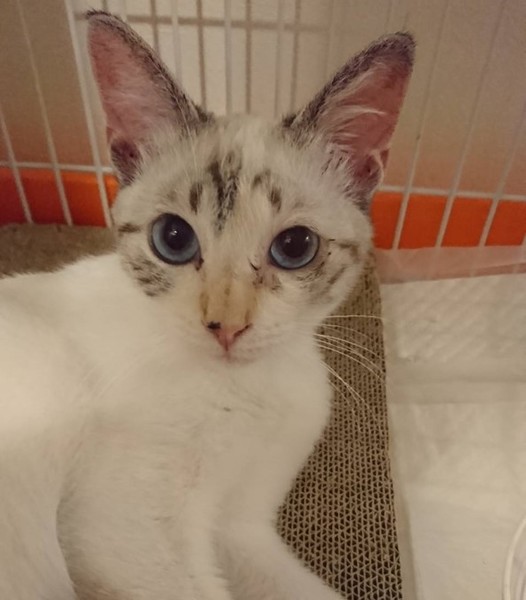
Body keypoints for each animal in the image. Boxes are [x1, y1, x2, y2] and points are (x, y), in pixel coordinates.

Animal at [0, 10, 413, 600]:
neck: (250, 391)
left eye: (295, 247)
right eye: (173, 239)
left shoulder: (242, 528)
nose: (226, 327)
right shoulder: (122, 529)